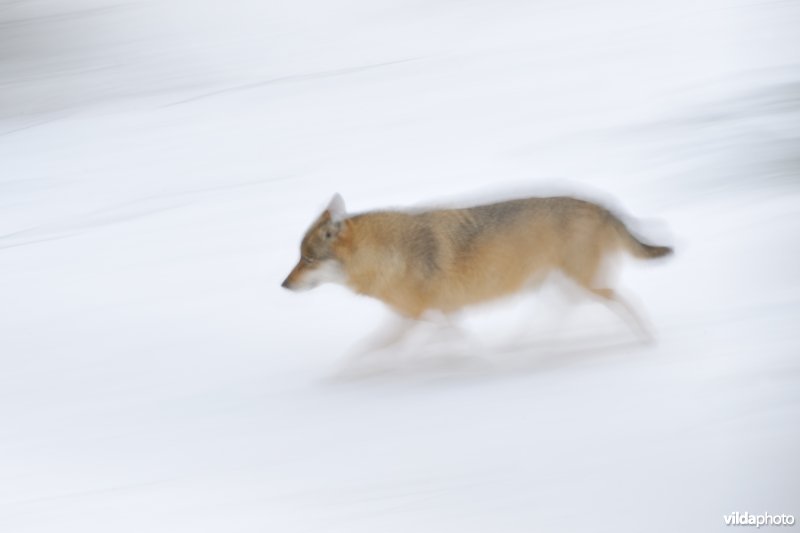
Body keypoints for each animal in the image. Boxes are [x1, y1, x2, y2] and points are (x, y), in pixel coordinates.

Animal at [281, 193, 672, 342]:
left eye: (307, 259)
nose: (283, 285)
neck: (389, 255)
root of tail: (600, 204)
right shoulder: (436, 314)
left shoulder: (417, 316)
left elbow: (369, 351)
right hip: (563, 284)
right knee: (563, 310)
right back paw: (522, 344)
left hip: (583, 284)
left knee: (624, 301)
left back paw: (647, 338)